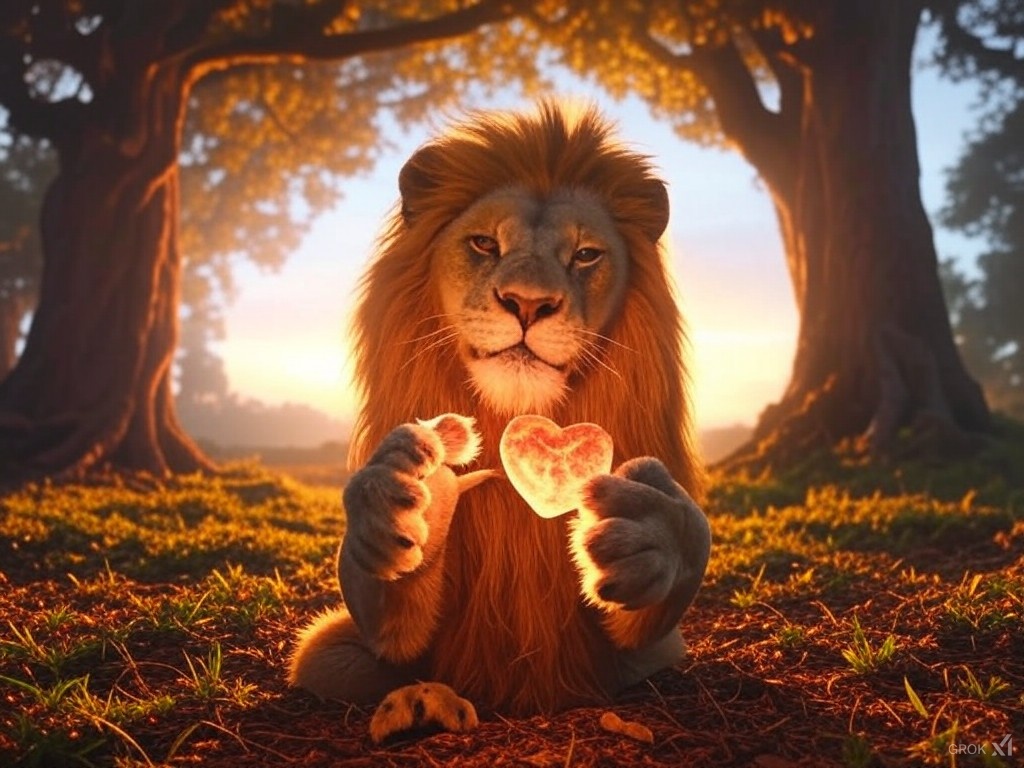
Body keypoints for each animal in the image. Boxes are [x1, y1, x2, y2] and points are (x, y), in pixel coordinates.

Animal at [288, 101, 712, 742]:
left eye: (585, 255)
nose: (529, 303)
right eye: (485, 244)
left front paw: (652, 537)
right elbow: (391, 630)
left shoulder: (640, 647)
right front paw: (405, 508)